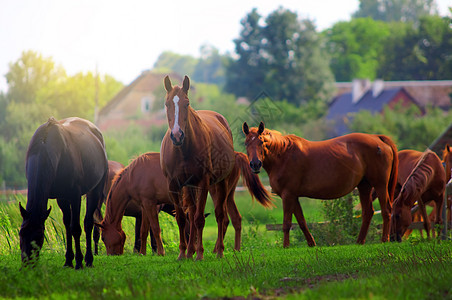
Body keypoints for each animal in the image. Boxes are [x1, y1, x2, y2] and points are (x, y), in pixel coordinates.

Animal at [20, 117, 107, 270]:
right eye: (21, 233)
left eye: (40, 236)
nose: (27, 264)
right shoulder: (61, 197)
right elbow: (67, 225)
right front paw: (68, 260)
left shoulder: (75, 195)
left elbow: (75, 228)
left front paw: (78, 262)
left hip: (95, 190)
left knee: (88, 223)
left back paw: (89, 259)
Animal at [159, 75, 272, 260]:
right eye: (167, 104)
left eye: (186, 103)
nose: (177, 135)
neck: (183, 150)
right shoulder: (174, 185)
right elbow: (182, 219)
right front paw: (183, 253)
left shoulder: (203, 182)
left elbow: (199, 219)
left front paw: (200, 254)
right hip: (191, 187)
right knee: (193, 213)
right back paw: (190, 252)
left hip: (221, 185)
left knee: (221, 216)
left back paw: (219, 251)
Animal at [242, 121, 398, 246]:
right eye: (246, 143)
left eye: (261, 141)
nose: (255, 164)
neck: (283, 155)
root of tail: (378, 138)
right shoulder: (294, 196)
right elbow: (302, 222)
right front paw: (312, 244)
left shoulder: (287, 195)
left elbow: (286, 223)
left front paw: (285, 246)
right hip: (364, 186)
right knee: (368, 212)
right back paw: (359, 242)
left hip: (380, 185)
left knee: (386, 210)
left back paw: (384, 240)